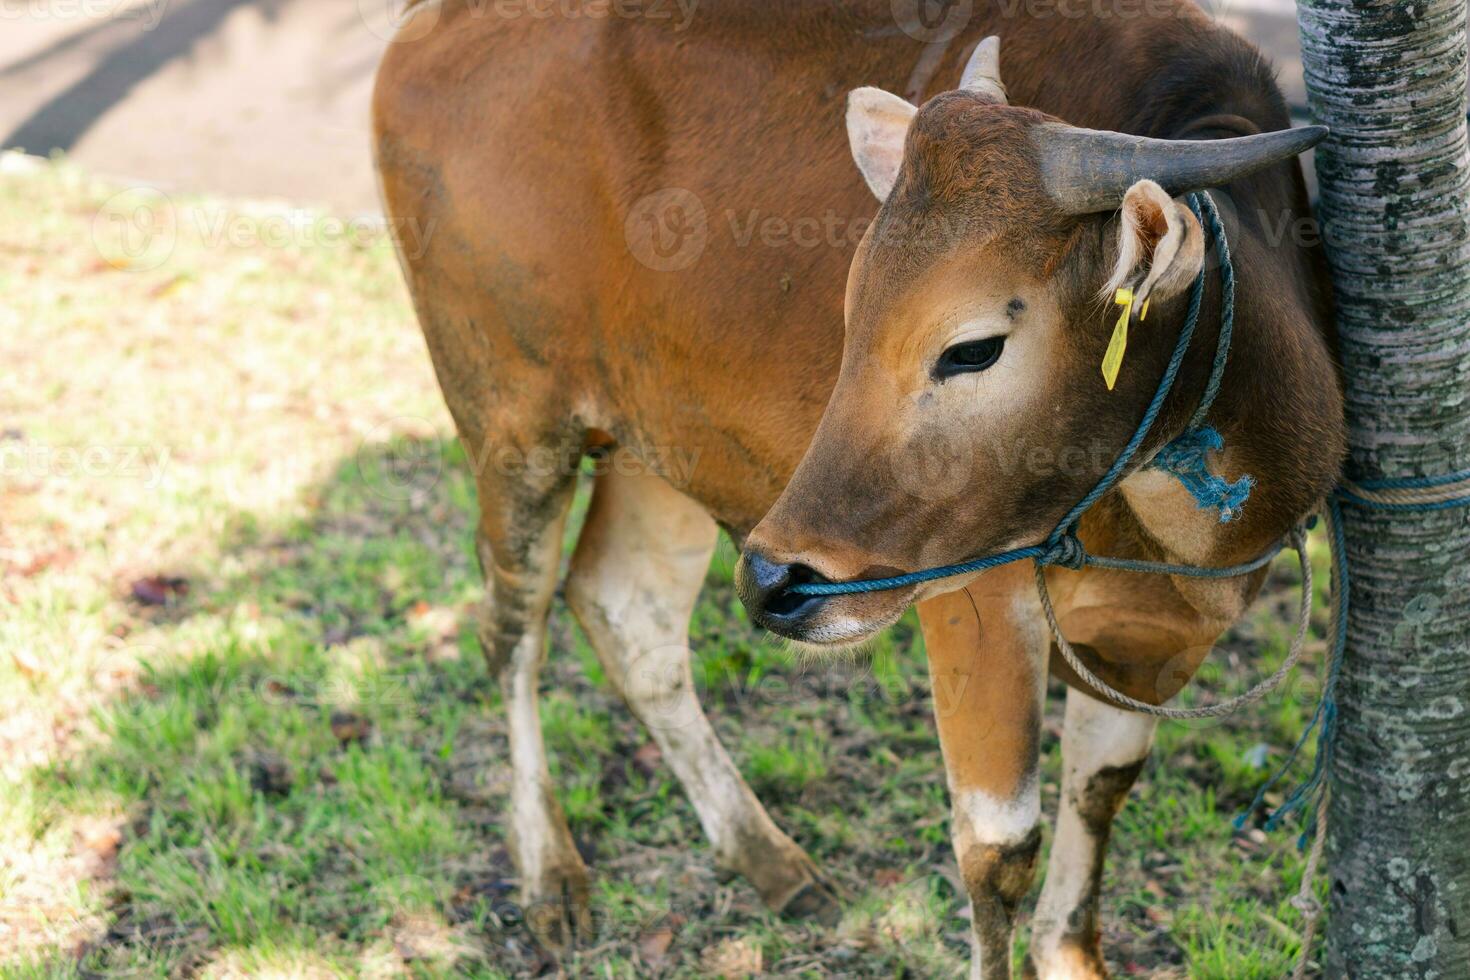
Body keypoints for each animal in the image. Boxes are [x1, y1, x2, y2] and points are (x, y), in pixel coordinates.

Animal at [370, 3, 1346, 975]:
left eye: (972, 346)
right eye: (852, 311)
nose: (775, 582)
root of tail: (426, 29)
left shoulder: (1150, 639)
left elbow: (1100, 789)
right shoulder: (975, 601)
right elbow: (998, 850)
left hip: (659, 441)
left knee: (624, 610)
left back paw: (763, 854)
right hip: (512, 425)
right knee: (512, 631)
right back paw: (551, 875)